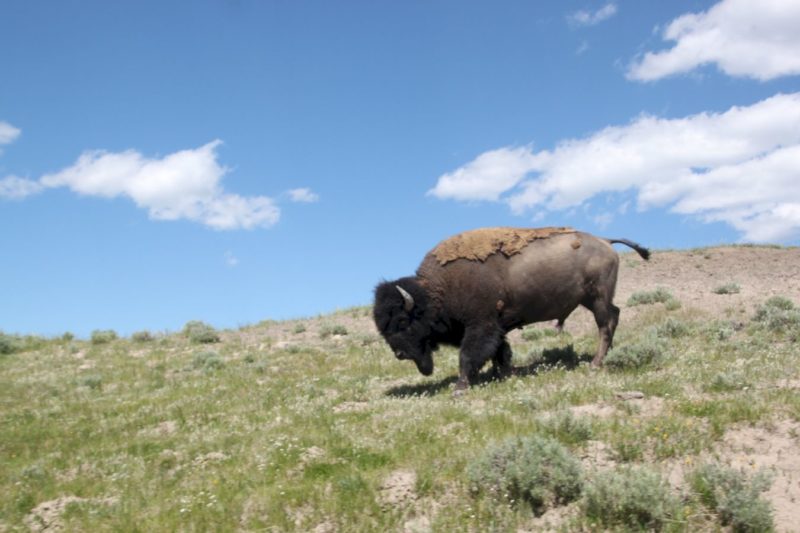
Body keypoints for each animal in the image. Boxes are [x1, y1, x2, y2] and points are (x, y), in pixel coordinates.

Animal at [376, 227, 648, 392]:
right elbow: (501, 352)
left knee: (605, 324)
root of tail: (605, 241)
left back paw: (595, 363)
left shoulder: (481, 326)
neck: (436, 290)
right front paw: (505, 375)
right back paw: (607, 356)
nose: (399, 354)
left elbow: (469, 355)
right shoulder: (497, 328)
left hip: (597, 298)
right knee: (614, 316)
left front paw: (460, 387)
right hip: (593, 300)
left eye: (402, 321)